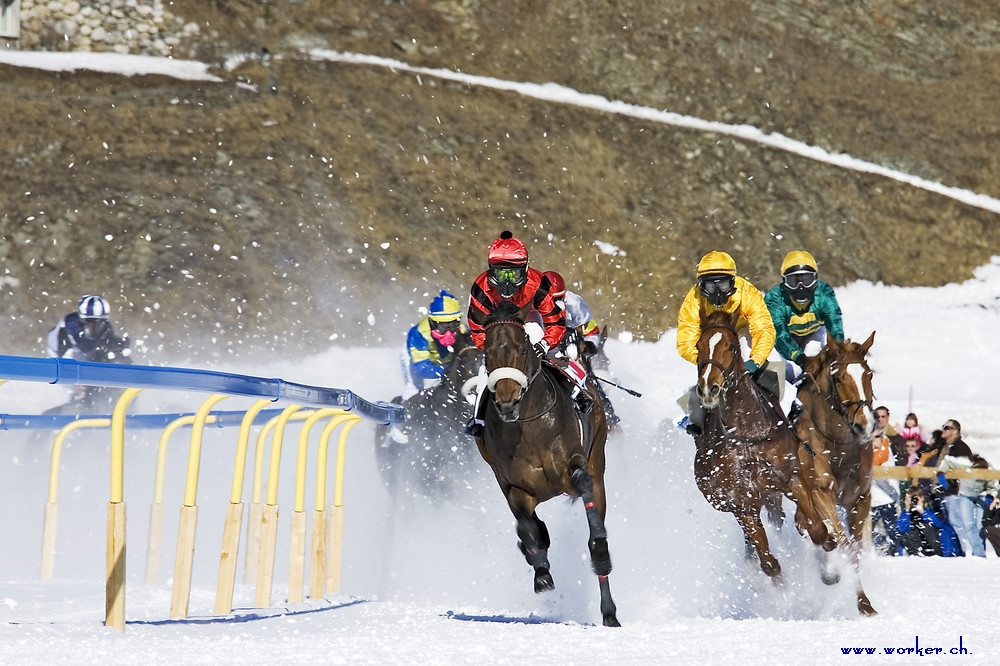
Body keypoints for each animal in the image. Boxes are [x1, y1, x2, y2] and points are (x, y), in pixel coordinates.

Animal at [474, 300, 616, 624]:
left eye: (522, 350)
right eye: (487, 352)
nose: (507, 401)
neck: (529, 427)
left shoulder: (575, 470)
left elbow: (588, 508)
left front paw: (600, 553)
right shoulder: (513, 485)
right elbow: (528, 528)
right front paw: (541, 572)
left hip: (598, 457)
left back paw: (609, 612)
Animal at [692, 308, 856, 600]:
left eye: (731, 346)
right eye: (699, 347)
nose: (708, 389)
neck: (747, 435)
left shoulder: (790, 479)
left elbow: (818, 530)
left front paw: (830, 570)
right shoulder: (742, 503)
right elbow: (769, 563)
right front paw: (784, 596)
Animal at [792, 330, 880, 616]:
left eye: (868, 374)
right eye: (839, 378)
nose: (866, 425)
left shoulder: (860, 498)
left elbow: (858, 549)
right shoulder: (820, 493)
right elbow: (846, 547)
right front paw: (864, 604)